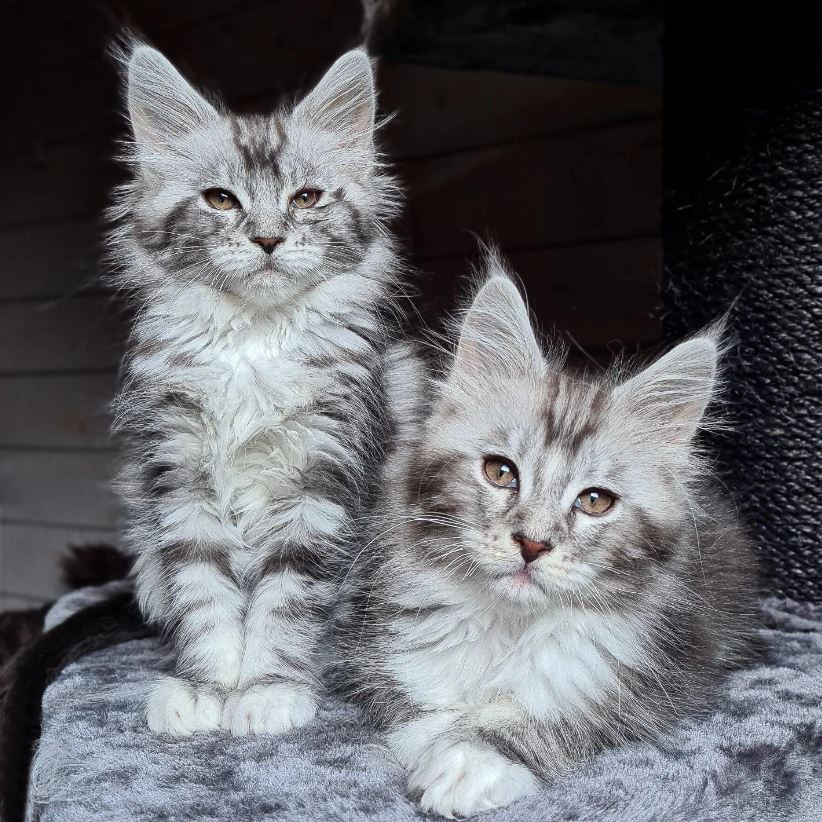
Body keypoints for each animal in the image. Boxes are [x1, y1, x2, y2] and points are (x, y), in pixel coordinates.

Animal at [109, 37, 403, 737]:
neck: (254, 342)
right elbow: (205, 597)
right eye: (221, 200)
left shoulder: (322, 476)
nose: (268, 238)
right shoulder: (179, 475)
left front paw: (269, 690)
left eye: (306, 198)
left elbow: (286, 602)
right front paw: (206, 688)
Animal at [335, 253, 759, 818]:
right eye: (500, 472)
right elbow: (420, 706)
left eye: (594, 501)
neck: (507, 625)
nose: (532, 544)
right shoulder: (377, 653)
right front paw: (437, 742)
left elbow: (546, 720)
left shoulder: (643, 684)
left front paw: (470, 761)